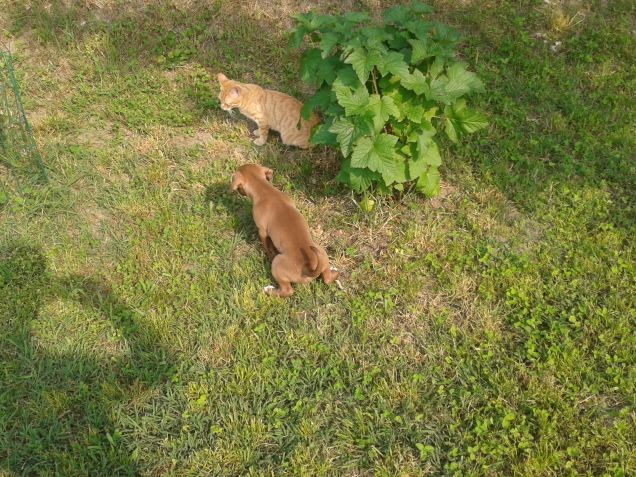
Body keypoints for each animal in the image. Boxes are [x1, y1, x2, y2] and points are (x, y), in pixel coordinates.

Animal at [231, 164, 340, 298]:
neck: (264, 189)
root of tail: (309, 269)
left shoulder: (262, 231)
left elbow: (268, 247)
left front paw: (269, 254)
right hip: (321, 253)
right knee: (327, 279)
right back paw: (335, 272)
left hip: (277, 265)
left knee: (287, 291)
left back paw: (269, 290)